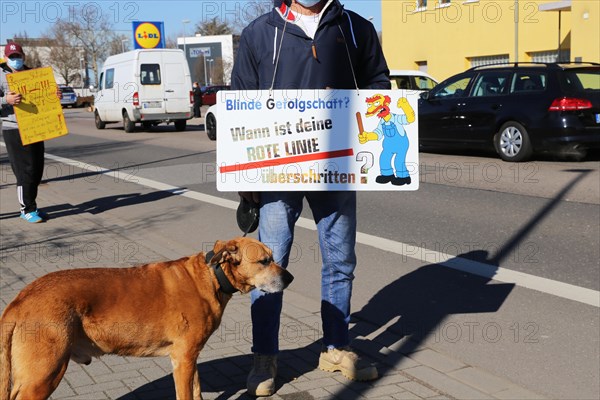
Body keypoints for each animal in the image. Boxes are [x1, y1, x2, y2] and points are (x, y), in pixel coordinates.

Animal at [0, 236, 294, 398]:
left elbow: (196, 390)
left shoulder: (188, 360)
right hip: (43, 376)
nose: (290, 278)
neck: (211, 276)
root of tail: (20, 299)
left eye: (273, 258)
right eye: (264, 261)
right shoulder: (183, 359)